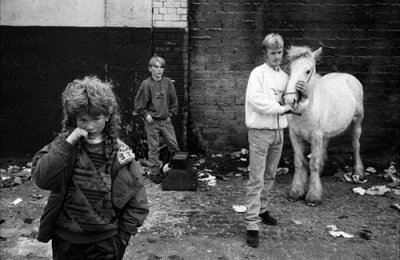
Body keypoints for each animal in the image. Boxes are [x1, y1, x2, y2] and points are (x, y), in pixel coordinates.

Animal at [282, 45, 364, 206]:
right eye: (290, 68)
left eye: (308, 70)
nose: (289, 100)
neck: (306, 110)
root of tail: (348, 76)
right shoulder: (295, 135)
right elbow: (299, 162)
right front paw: (296, 191)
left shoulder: (316, 136)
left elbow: (313, 163)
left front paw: (313, 195)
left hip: (358, 120)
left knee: (356, 144)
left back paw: (358, 172)